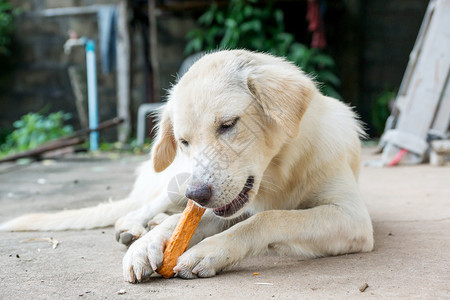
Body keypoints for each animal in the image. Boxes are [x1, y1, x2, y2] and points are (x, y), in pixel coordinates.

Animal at [0, 49, 372, 284]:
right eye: (184, 141)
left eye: (228, 125)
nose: (199, 194)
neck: (280, 173)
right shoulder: (215, 202)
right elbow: (200, 220)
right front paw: (147, 246)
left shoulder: (353, 219)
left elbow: (269, 218)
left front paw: (209, 251)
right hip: (176, 181)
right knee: (144, 209)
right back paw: (136, 230)